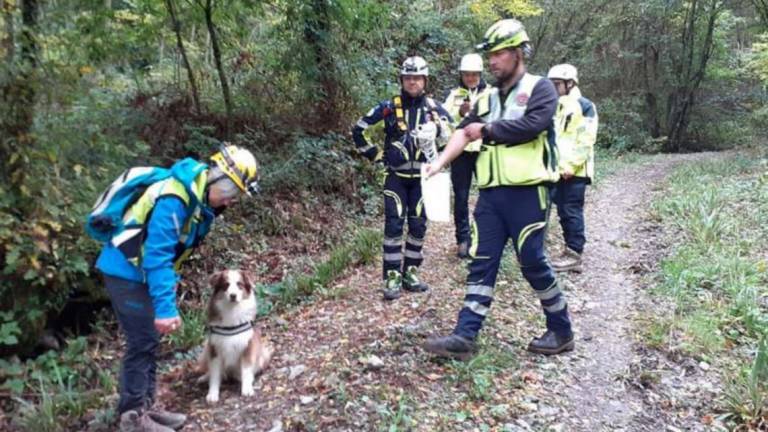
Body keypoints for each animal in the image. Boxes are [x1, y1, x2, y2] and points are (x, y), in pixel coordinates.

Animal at [198, 270, 272, 404]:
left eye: (239, 284)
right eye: (226, 285)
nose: (233, 295)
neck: (232, 311)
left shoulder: (248, 346)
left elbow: (246, 370)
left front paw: (247, 388)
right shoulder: (215, 349)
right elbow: (215, 374)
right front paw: (212, 394)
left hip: (264, 354)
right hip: (205, 349)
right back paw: (205, 377)